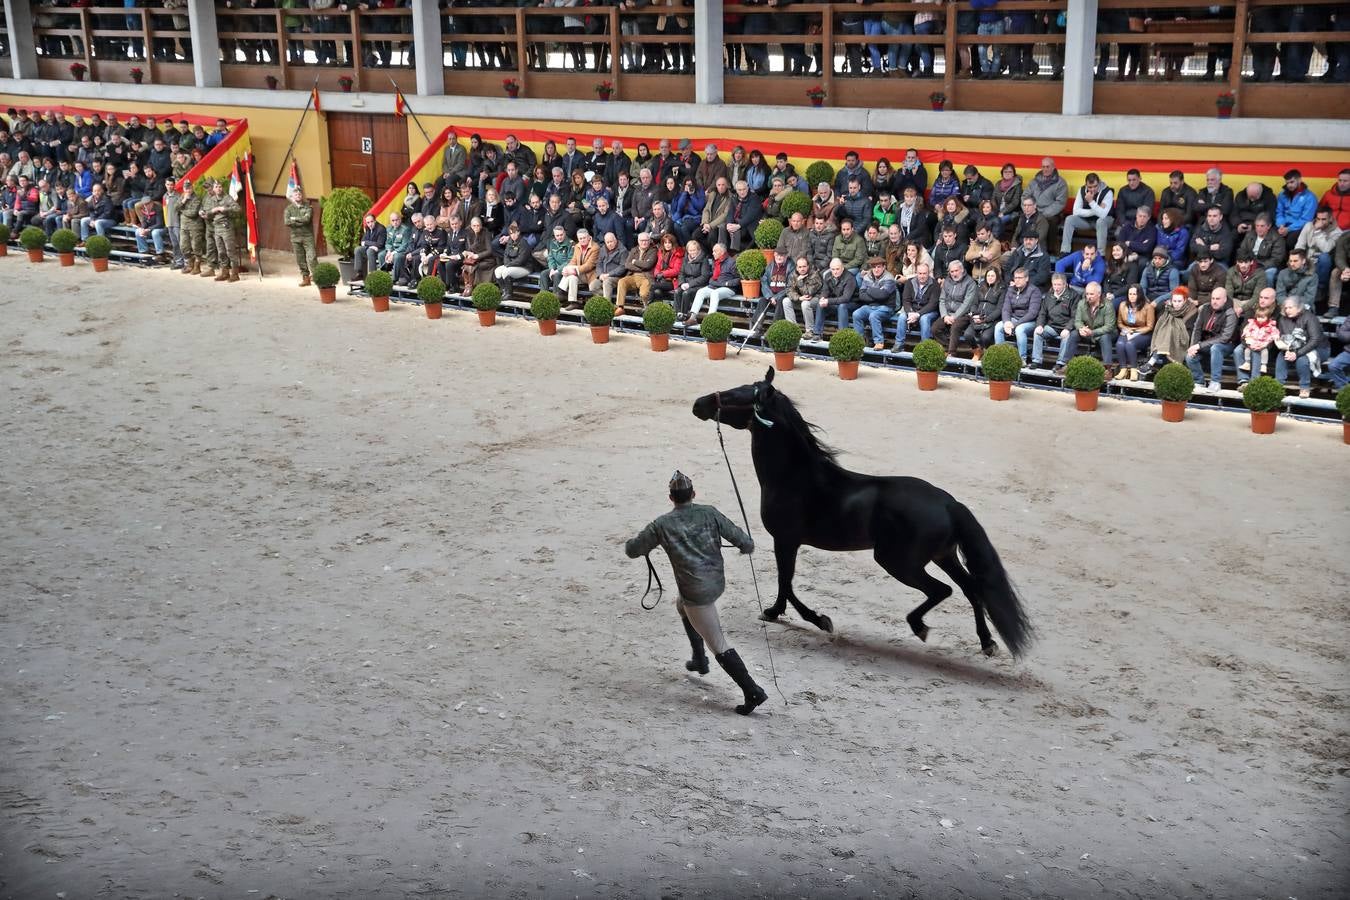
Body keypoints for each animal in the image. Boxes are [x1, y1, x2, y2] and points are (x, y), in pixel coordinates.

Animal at [696, 369, 1031, 658]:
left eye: (737, 395)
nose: (699, 403)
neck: (796, 477)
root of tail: (948, 503)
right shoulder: (787, 542)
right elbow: (785, 583)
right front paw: (776, 612)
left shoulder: (786, 541)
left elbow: (786, 582)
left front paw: (816, 619)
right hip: (944, 556)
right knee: (972, 589)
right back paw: (987, 643)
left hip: (898, 562)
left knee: (943, 590)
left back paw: (919, 626)